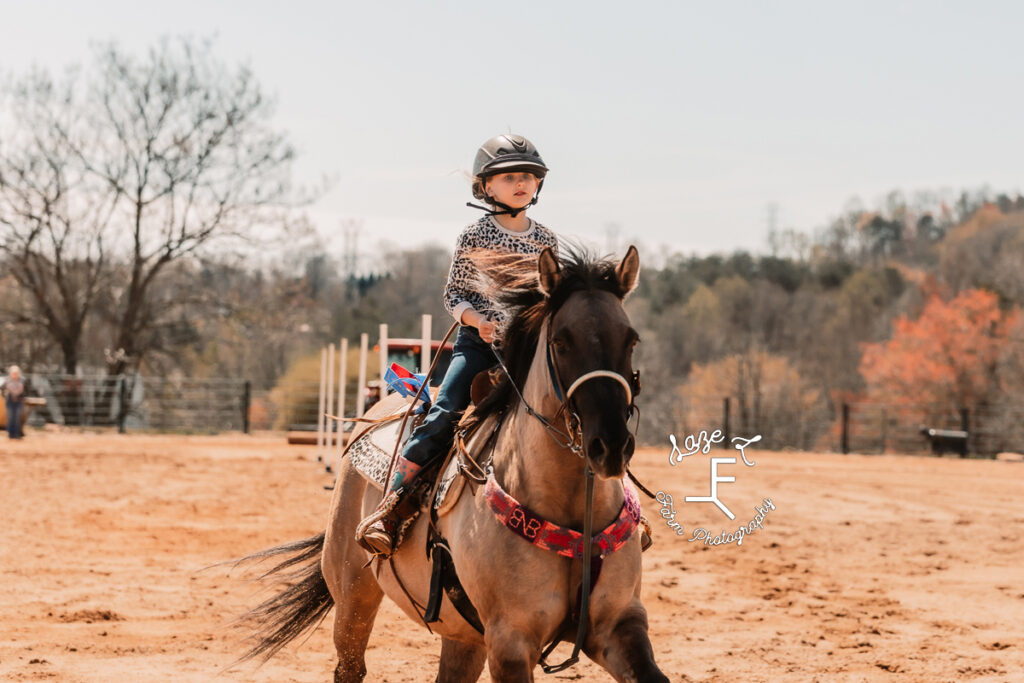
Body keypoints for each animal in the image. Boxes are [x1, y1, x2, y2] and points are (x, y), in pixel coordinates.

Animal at [238, 246, 671, 683]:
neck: (571, 510)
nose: (610, 445)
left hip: (462, 637)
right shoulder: (510, 642)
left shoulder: (619, 624)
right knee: (350, 663)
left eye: (631, 339)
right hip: (354, 594)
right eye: (561, 342)